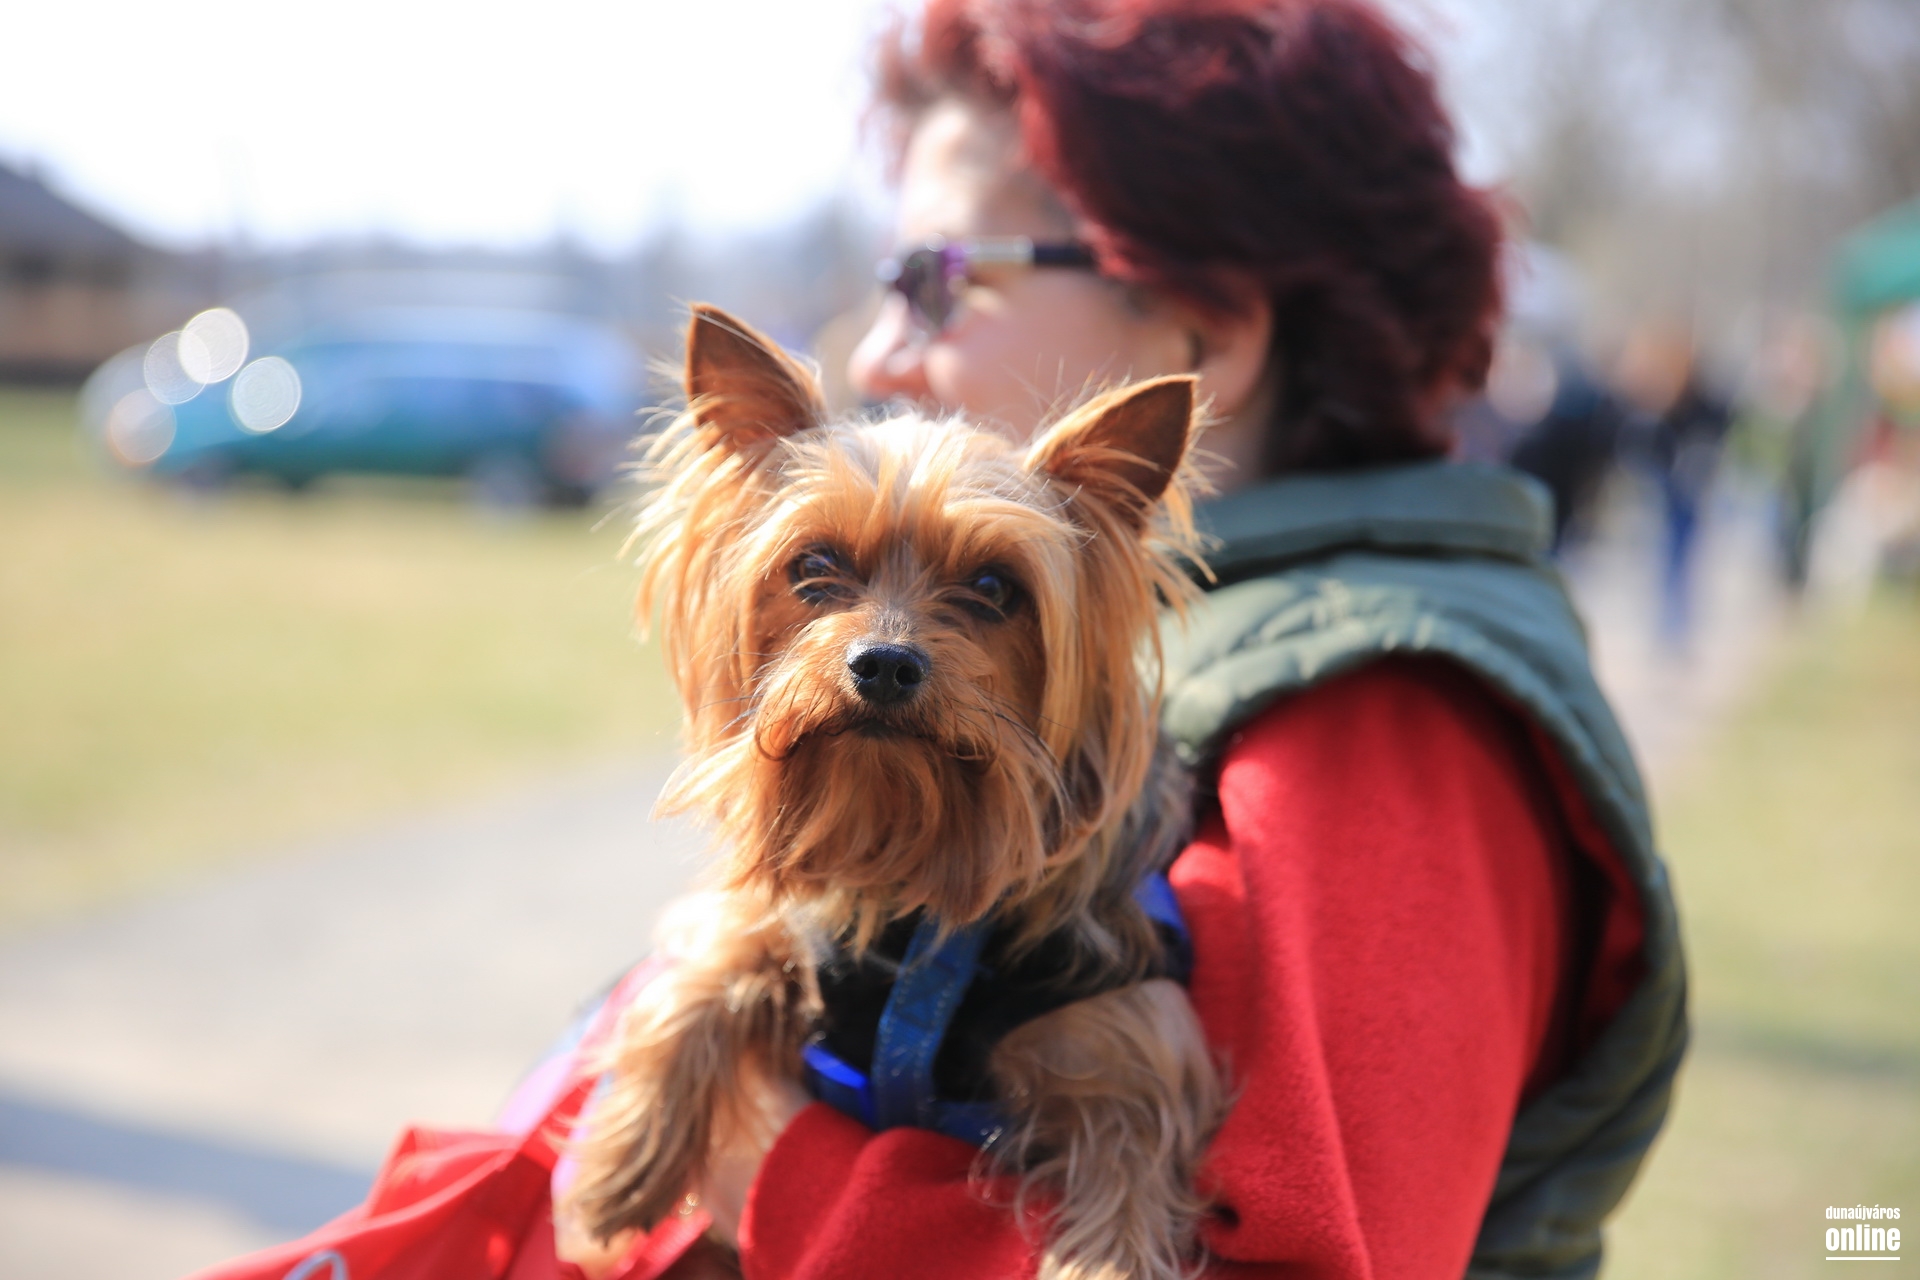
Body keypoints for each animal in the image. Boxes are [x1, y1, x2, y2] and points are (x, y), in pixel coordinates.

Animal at [563, 305, 1224, 1280]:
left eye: (994, 587)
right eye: (813, 565)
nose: (883, 662)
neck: (904, 852)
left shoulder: (1128, 1044)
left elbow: (1127, 1191)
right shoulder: (784, 916)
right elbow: (707, 961)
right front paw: (617, 1166)